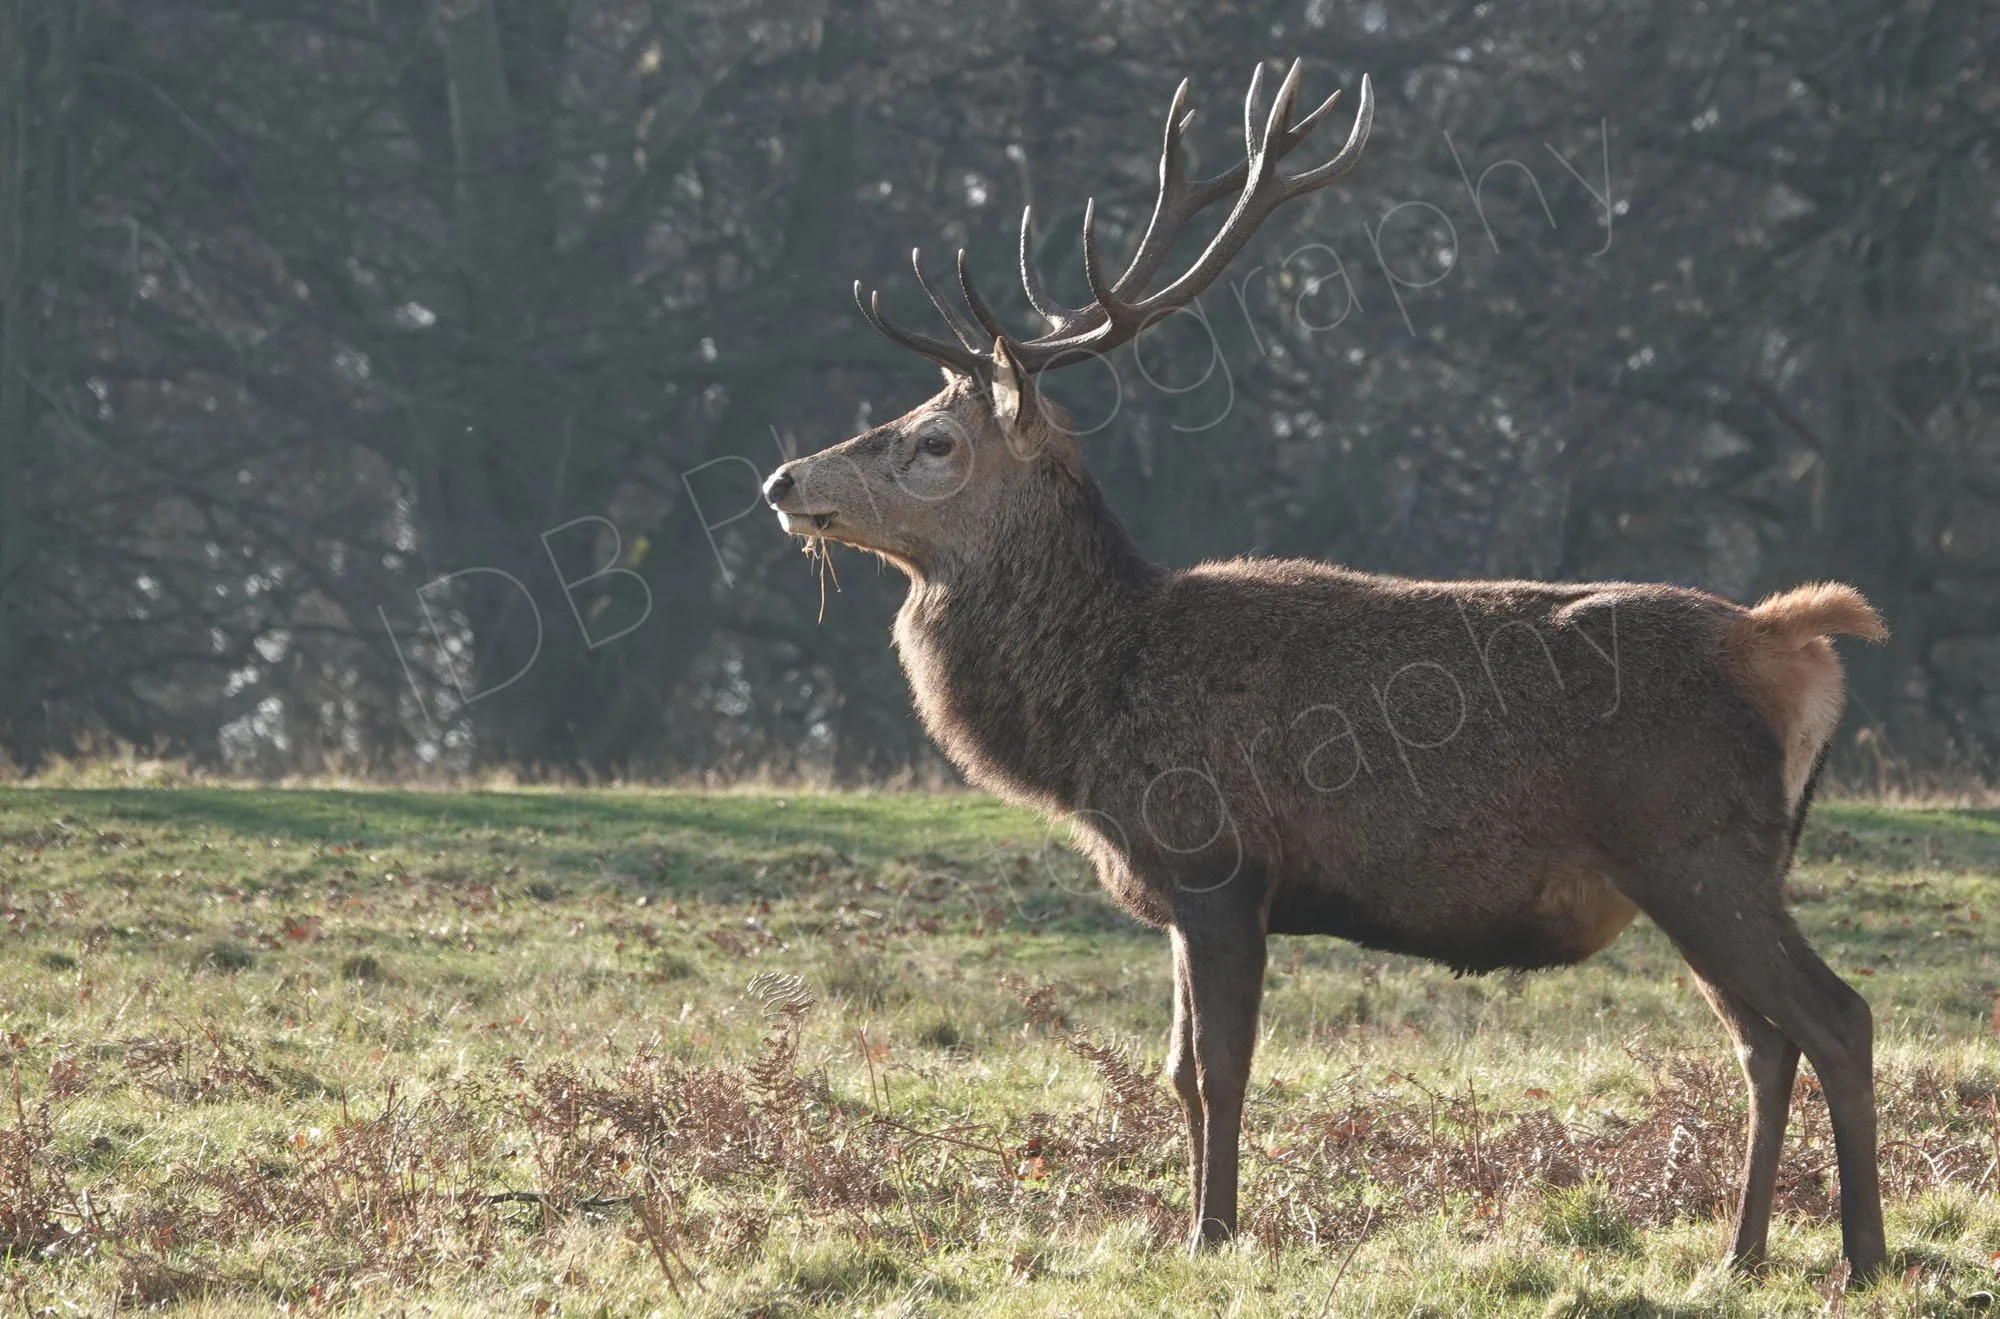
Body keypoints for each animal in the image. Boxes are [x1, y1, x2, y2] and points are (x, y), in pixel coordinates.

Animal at [762, 59, 1889, 1279]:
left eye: (933, 442)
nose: (783, 479)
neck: (1091, 711)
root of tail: (1789, 640)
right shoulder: (1177, 893)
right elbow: (1176, 1074)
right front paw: (1190, 1226)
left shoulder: (1220, 861)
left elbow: (1220, 1071)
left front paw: (1213, 1231)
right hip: (1706, 870)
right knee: (1764, 1043)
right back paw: (1738, 1252)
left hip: (1696, 846)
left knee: (1836, 1018)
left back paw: (1862, 1253)